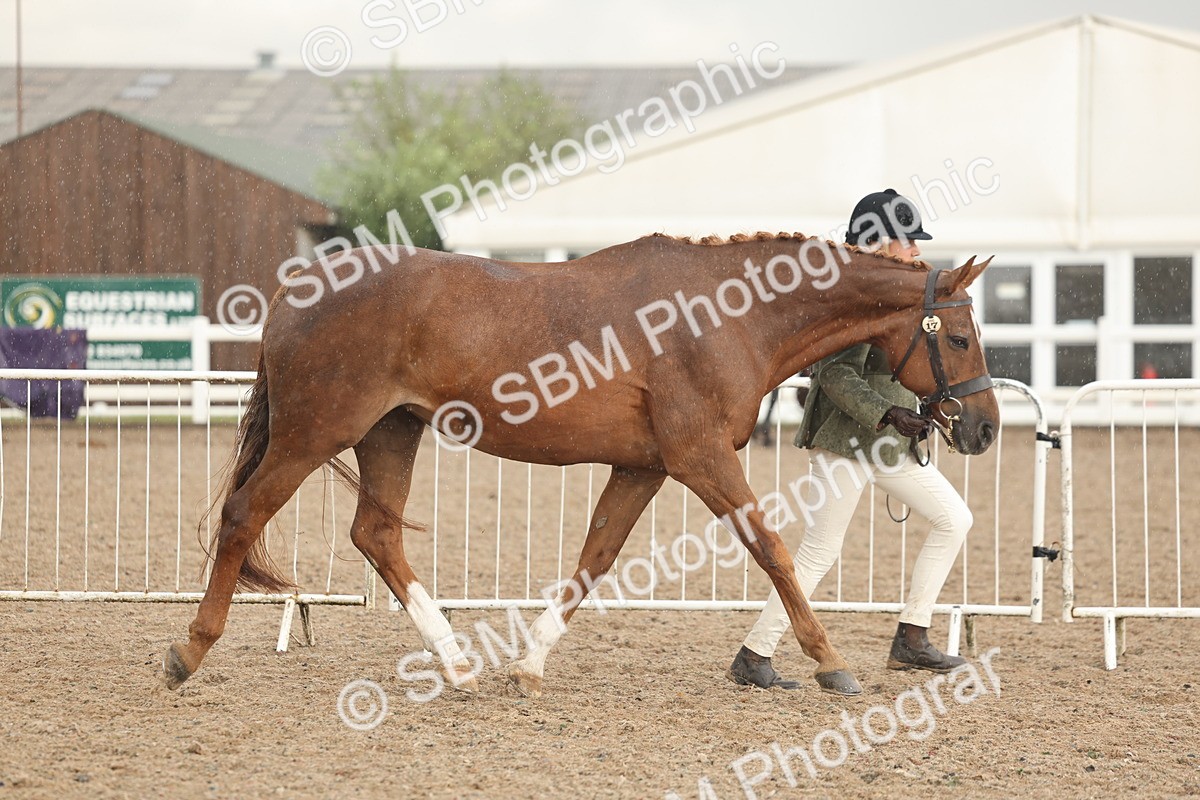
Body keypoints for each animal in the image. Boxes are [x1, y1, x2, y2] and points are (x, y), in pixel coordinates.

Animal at [162, 230, 998, 698]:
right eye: (959, 338)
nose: (984, 428)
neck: (728, 315)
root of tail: (297, 289)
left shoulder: (645, 468)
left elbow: (594, 560)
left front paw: (528, 665)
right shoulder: (701, 460)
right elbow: (776, 553)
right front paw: (829, 663)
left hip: (390, 433)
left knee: (377, 535)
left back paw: (459, 668)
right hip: (315, 433)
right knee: (245, 515)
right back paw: (188, 652)